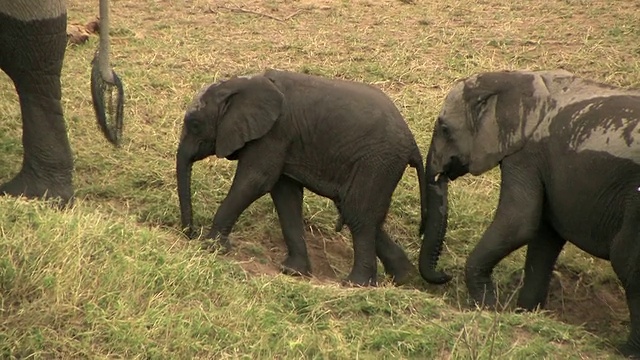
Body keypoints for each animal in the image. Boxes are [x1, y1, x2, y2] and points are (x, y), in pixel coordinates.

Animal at [176, 69, 424, 286]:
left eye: (195, 125)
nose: (190, 233)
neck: (241, 83)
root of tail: (412, 142)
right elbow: (285, 195)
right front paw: (293, 272)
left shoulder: (274, 133)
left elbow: (256, 182)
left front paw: (210, 247)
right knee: (359, 212)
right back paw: (405, 278)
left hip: (377, 162)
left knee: (358, 214)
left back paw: (356, 284)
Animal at [420, 70, 640, 358]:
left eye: (445, 129)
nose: (445, 275)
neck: (517, 78)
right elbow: (544, 238)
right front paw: (523, 314)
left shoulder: (526, 155)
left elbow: (519, 222)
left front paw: (491, 307)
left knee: (626, 261)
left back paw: (625, 350)